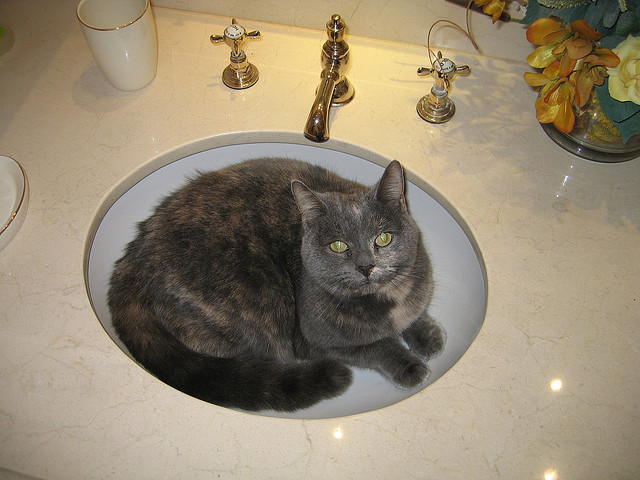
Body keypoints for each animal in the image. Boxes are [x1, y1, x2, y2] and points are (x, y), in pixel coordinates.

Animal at [108, 158, 445, 412]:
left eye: (383, 239)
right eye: (338, 246)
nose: (366, 266)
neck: (386, 300)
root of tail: (135, 255)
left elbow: (415, 312)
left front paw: (429, 336)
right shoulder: (317, 341)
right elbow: (378, 345)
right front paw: (410, 366)